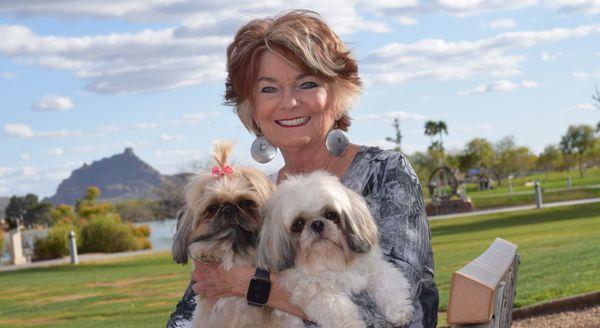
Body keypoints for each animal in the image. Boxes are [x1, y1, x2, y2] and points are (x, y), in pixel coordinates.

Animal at [255, 172, 414, 328]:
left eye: (331, 214)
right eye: (299, 223)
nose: (317, 224)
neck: (331, 259)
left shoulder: (374, 267)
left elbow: (389, 285)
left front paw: (399, 311)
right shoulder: (319, 293)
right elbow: (340, 312)